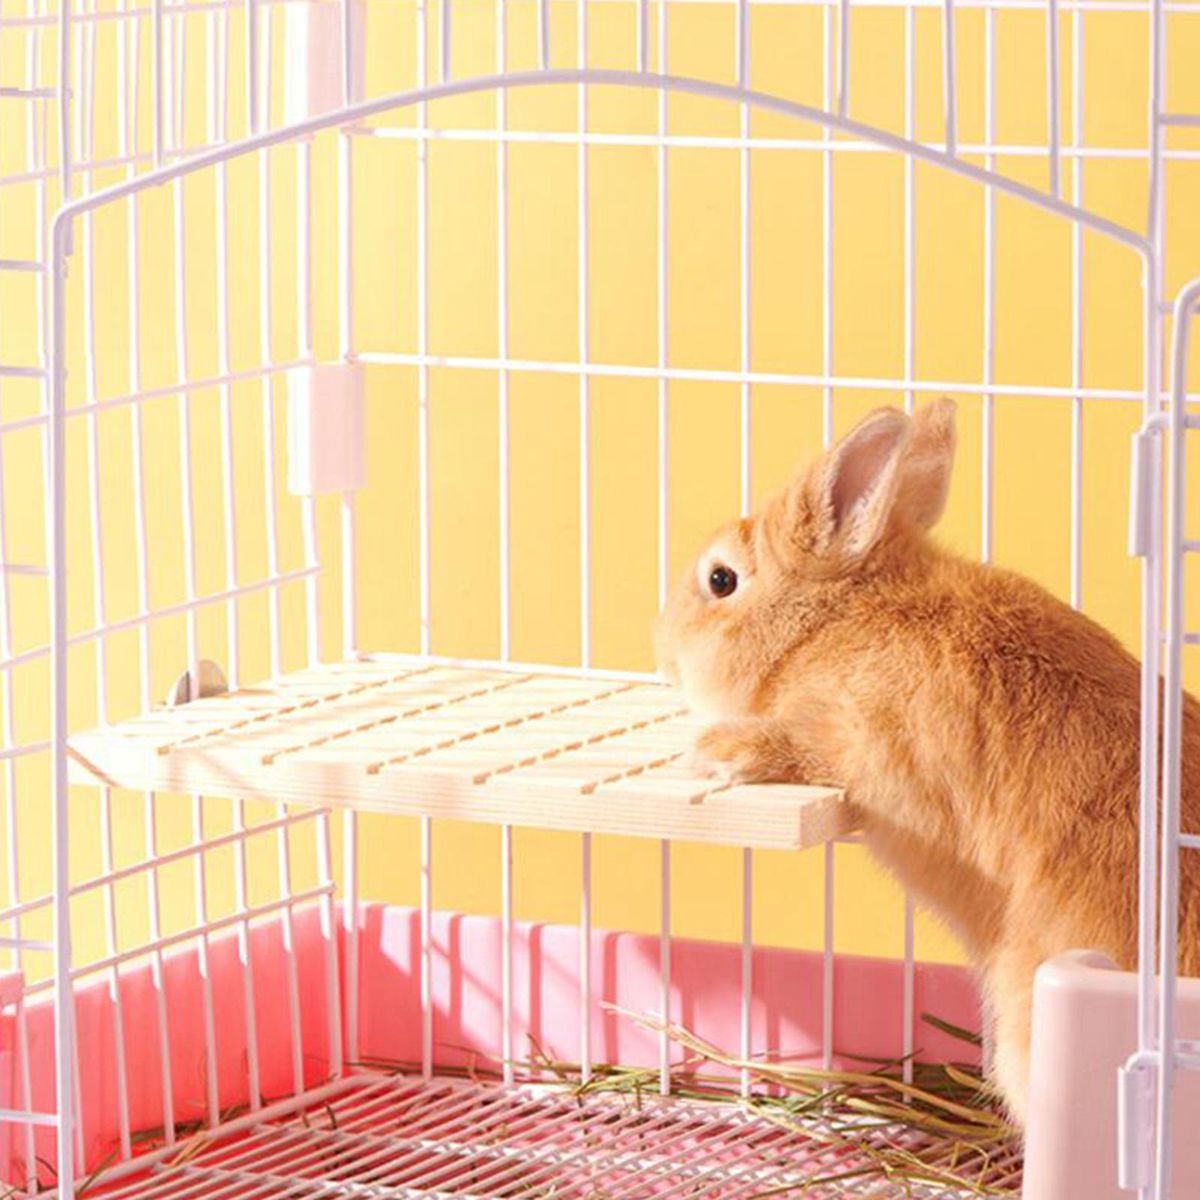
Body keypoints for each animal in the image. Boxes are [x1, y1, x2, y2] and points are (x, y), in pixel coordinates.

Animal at [654, 397, 1200, 1124]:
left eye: (721, 580)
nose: (662, 647)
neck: (828, 626)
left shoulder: (861, 744)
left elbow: (807, 752)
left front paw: (723, 753)